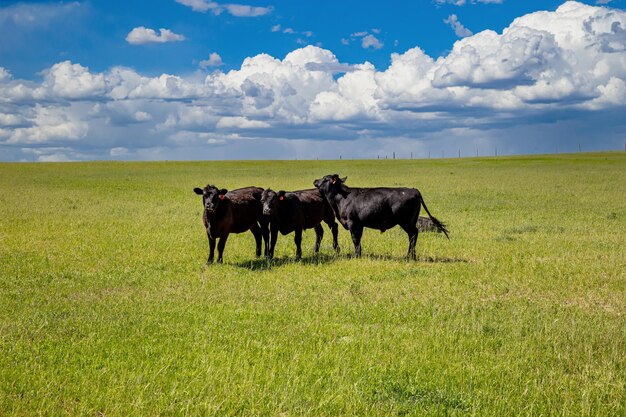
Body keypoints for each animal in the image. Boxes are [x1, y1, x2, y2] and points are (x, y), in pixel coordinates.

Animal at [314, 174, 446, 258]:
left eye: (325, 178)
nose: (315, 180)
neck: (341, 198)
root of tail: (413, 190)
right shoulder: (360, 225)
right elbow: (358, 240)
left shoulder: (353, 223)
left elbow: (355, 239)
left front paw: (356, 256)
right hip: (411, 221)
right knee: (412, 235)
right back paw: (411, 255)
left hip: (406, 222)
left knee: (413, 234)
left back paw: (409, 256)